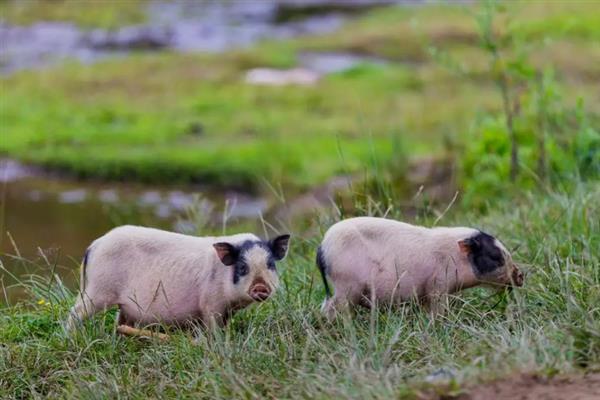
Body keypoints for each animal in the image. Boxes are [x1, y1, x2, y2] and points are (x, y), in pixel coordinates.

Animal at [63, 225, 290, 338]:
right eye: (243, 267)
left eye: (270, 264)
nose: (260, 287)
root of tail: (94, 245)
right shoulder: (211, 303)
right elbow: (213, 326)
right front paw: (217, 343)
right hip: (96, 291)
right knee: (75, 312)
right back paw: (71, 337)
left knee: (121, 321)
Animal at [316, 217, 524, 318]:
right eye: (496, 257)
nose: (521, 274)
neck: (454, 258)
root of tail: (322, 248)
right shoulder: (437, 285)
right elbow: (438, 308)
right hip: (346, 285)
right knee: (331, 308)